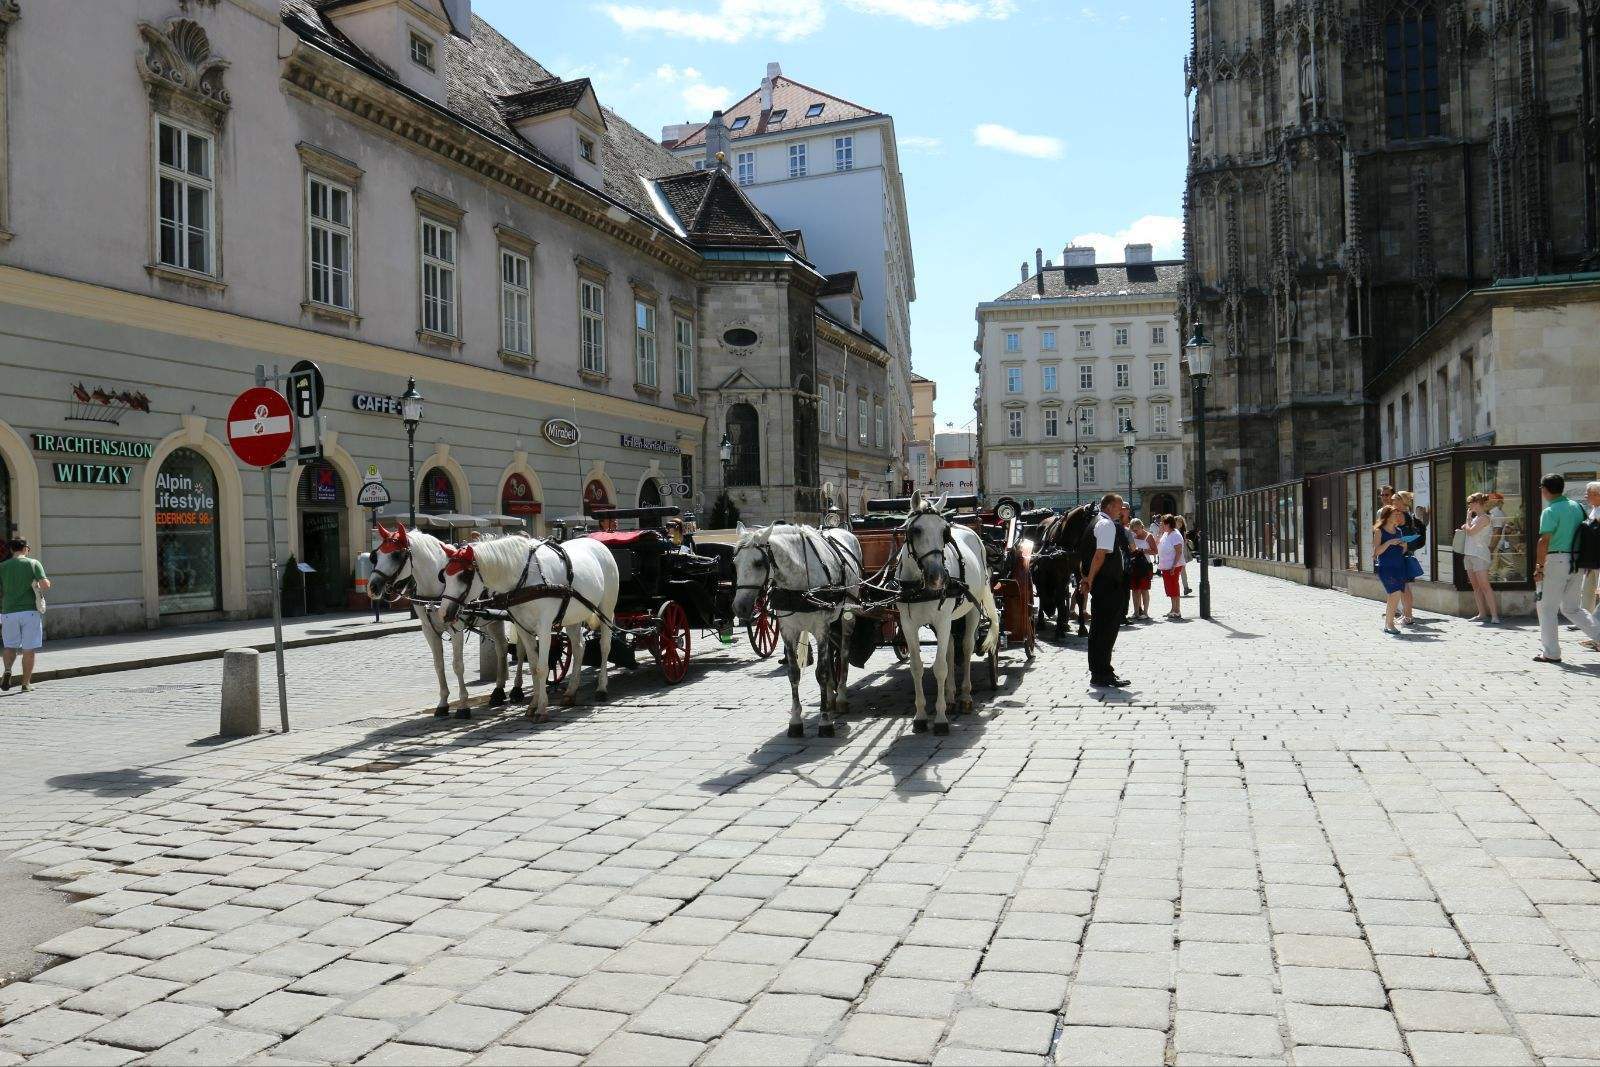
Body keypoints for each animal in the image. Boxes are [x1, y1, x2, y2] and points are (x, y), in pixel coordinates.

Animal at [366, 521, 508, 723]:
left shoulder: (456, 628)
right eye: (375, 555)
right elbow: (438, 665)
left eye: (396, 555)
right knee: (502, 647)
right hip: (491, 620)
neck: (436, 587)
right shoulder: (429, 630)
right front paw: (442, 704)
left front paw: (463, 705)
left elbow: (457, 665)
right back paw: (499, 691)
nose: (373, 587)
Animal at [438, 537, 617, 723]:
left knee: (605, 646)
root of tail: (596, 542)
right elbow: (533, 666)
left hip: (606, 608)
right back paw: (570, 692)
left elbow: (542, 667)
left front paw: (542, 709)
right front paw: (533, 705)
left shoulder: (544, 627)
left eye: (464, 576)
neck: (526, 579)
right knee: (579, 647)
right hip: (573, 616)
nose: (443, 613)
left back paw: (601, 688)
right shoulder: (522, 627)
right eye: (444, 576)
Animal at [732, 521, 864, 739]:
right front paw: (795, 721)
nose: (739, 608)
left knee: (843, 653)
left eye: (759, 563)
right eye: (734, 563)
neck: (799, 581)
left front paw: (825, 722)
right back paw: (830, 696)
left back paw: (841, 697)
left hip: (847, 615)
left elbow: (821, 672)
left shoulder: (820, 627)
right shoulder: (788, 630)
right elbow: (794, 673)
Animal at [902, 492, 998, 735]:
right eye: (916, 531)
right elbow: (917, 667)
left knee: (966, 647)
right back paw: (951, 696)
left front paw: (940, 719)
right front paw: (920, 716)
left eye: (944, 532)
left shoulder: (943, 620)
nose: (937, 576)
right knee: (951, 649)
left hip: (971, 610)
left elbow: (940, 668)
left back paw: (964, 697)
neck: (919, 586)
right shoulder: (908, 625)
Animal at [1030, 505, 1094, 639]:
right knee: (1042, 592)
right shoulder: (1058, 572)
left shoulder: (1077, 571)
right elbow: (1057, 598)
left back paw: (1064, 622)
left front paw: (1081, 628)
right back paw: (1042, 622)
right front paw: (1059, 630)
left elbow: (1079, 596)